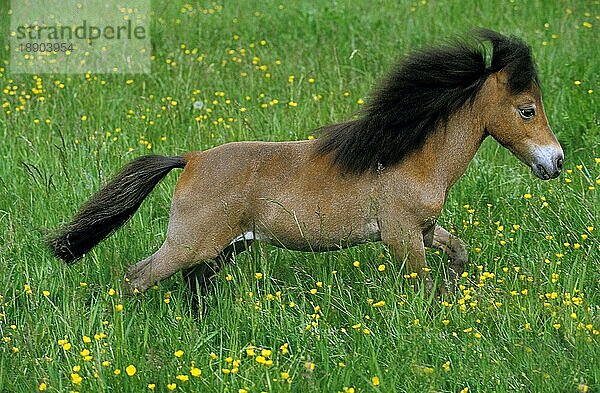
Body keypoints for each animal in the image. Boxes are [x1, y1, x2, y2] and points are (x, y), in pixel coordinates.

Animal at [47, 29, 564, 300]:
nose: (555, 162)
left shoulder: (422, 227)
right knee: (137, 277)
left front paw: (455, 289)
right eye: (527, 110)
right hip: (187, 245)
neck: (413, 157)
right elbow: (421, 282)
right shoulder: (400, 234)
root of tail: (190, 159)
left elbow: (458, 251)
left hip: (221, 250)